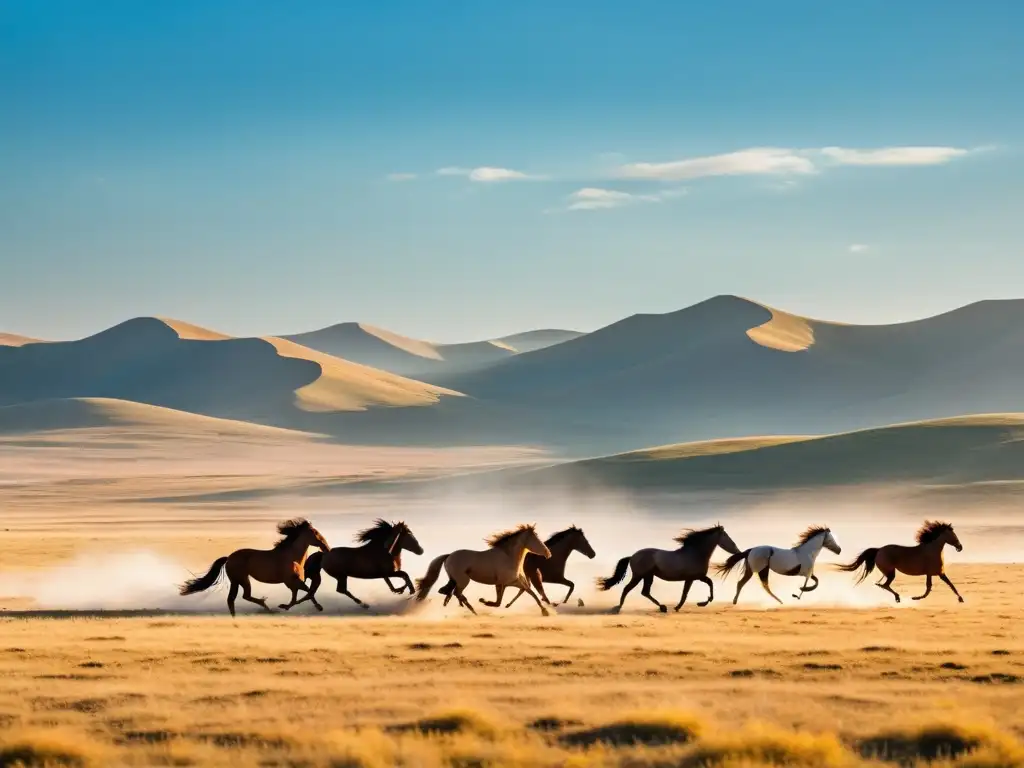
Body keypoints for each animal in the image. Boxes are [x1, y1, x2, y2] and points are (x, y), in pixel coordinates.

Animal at [178, 518, 329, 618]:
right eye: (315, 533)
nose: (325, 546)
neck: (292, 557)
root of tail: (229, 558)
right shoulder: (290, 581)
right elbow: (307, 591)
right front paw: (318, 607)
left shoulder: (293, 582)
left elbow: (299, 595)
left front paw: (285, 606)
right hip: (242, 579)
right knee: (241, 596)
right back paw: (265, 607)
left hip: (236, 581)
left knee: (234, 598)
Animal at [286, 518, 421, 614]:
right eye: (409, 535)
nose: (421, 550)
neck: (384, 551)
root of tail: (323, 554)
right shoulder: (388, 572)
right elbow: (404, 575)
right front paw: (411, 591)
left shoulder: (385, 574)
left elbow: (393, 582)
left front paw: (400, 590)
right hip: (340, 575)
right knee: (341, 589)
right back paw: (363, 604)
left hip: (341, 576)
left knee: (338, 590)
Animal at [413, 528, 552, 618]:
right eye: (537, 540)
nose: (548, 553)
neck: (508, 557)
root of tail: (448, 556)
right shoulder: (508, 582)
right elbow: (523, 593)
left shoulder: (508, 583)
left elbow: (525, 592)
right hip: (463, 580)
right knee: (457, 593)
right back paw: (473, 611)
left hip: (455, 580)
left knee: (448, 591)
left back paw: (454, 604)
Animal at [598, 528, 741, 618]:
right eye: (727, 537)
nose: (737, 551)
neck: (695, 554)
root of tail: (632, 556)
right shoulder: (695, 577)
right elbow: (707, 585)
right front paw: (703, 603)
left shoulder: (692, 578)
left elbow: (686, 594)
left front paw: (679, 607)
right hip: (639, 576)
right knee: (628, 589)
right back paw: (618, 608)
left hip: (648, 576)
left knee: (645, 592)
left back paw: (662, 607)